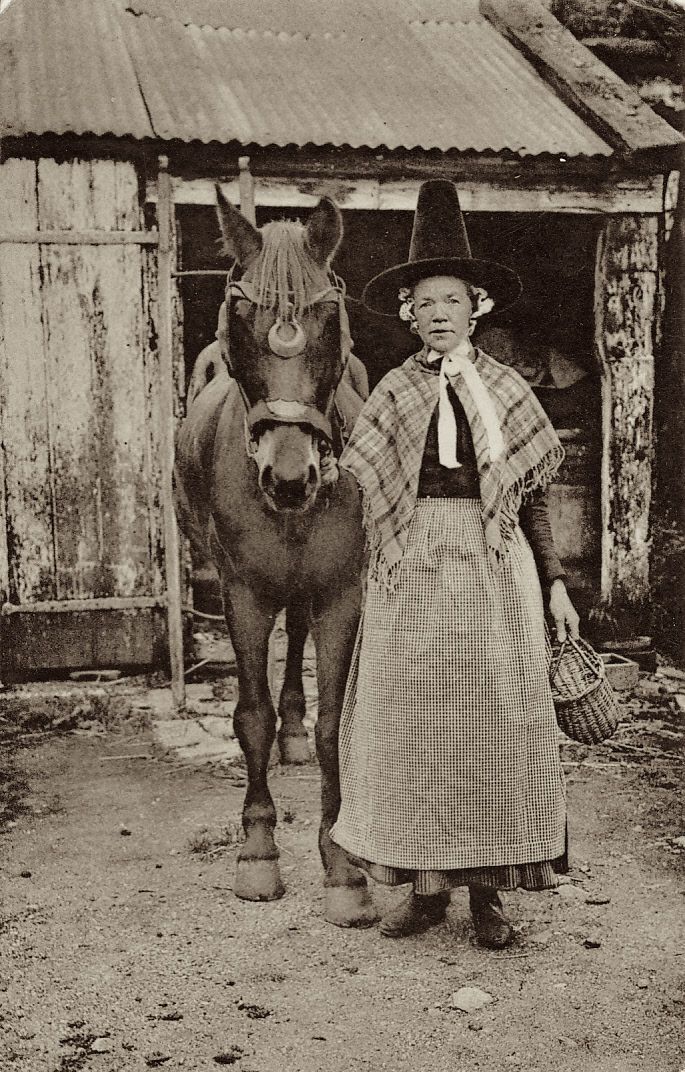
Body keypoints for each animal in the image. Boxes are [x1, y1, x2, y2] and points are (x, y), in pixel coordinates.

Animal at [173, 192, 377, 930]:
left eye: (329, 315)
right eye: (239, 313)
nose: (289, 480)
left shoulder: (343, 592)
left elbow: (332, 725)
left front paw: (342, 865)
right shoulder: (243, 594)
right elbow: (250, 718)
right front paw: (258, 850)